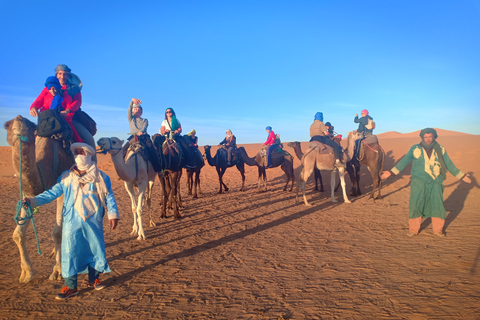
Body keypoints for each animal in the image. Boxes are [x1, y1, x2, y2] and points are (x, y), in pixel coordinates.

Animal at [4, 115, 74, 282]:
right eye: (7, 125)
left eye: (31, 125)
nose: (20, 128)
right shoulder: (27, 196)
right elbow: (17, 234)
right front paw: (27, 272)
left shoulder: (63, 188)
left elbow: (57, 233)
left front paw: (58, 270)